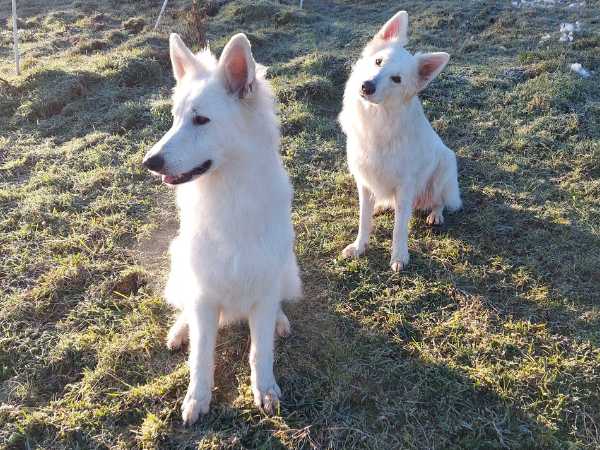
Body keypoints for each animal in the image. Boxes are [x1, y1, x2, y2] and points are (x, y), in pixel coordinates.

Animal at [141, 33, 300, 424]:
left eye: (201, 120)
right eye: (174, 119)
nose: (149, 162)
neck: (229, 197)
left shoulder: (264, 285)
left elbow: (260, 350)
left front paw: (264, 389)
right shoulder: (203, 294)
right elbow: (201, 356)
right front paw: (197, 399)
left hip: (288, 271)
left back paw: (280, 320)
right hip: (180, 264)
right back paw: (179, 329)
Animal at [340, 9, 462, 270]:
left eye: (396, 79)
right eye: (378, 62)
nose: (366, 86)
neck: (377, 119)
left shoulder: (405, 186)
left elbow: (399, 228)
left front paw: (399, 257)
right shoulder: (364, 181)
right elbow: (363, 219)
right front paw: (360, 246)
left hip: (445, 166)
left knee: (440, 201)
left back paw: (436, 214)